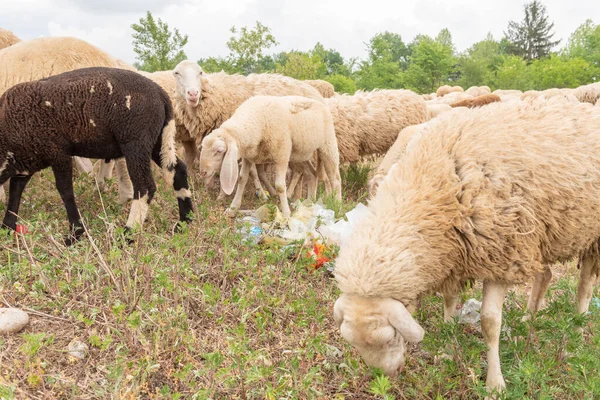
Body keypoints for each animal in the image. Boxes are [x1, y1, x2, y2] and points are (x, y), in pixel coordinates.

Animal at [0, 66, 192, 244]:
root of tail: (162, 95)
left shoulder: (58, 153)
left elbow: (65, 191)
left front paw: (75, 235)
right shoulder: (25, 163)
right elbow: (15, 192)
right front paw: (7, 228)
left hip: (135, 143)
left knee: (145, 187)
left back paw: (127, 233)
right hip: (158, 141)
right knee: (179, 171)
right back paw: (184, 223)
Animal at [199, 95, 342, 217]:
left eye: (219, 151)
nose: (203, 172)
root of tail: (321, 102)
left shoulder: (282, 156)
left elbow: (280, 186)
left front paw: (286, 213)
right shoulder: (248, 157)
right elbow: (241, 179)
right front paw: (233, 209)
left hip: (328, 145)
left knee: (335, 178)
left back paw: (337, 206)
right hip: (299, 153)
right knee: (312, 174)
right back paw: (310, 203)